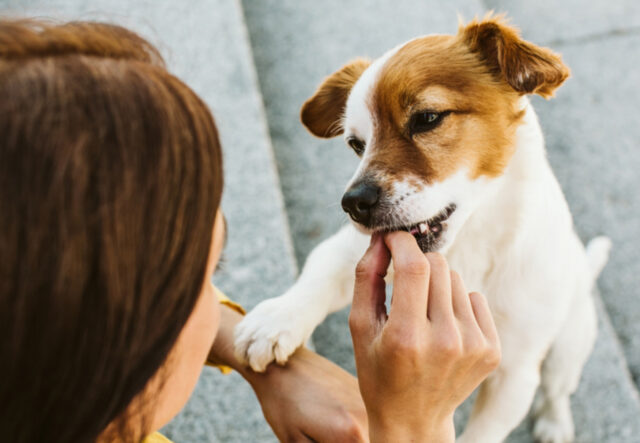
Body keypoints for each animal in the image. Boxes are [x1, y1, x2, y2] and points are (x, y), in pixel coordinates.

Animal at [234, 14, 608, 443]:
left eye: (427, 118)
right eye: (356, 144)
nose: (353, 203)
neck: (467, 243)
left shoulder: (514, 376)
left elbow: (483, 432)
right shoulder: (349, 252)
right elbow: (320, 273)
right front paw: (276, 320)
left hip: (569, 343)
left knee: (558, 388)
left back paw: (555, 422)